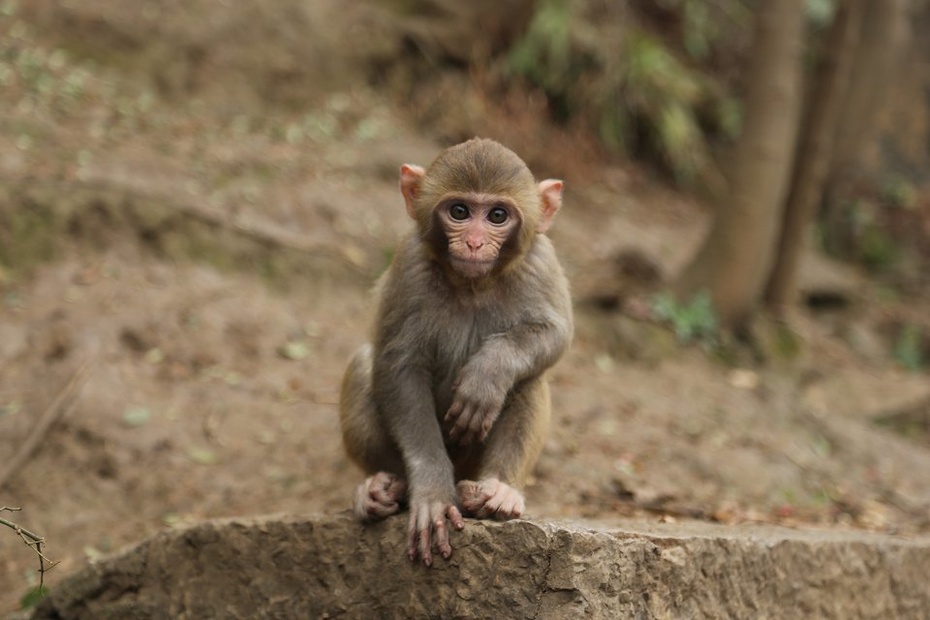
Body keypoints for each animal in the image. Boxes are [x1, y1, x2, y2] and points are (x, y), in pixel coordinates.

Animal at [340, 138, 572, 564]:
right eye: (460, 211)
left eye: (497, 215)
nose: (475, 242)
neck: (474, 284)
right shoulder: (410, 264)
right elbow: (398, 366)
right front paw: (432, 494)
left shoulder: (540, 260)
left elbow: (555, 333)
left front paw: (488, 373)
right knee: (365, 365)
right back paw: (380, 490)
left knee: (530, 379)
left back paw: (497, 492)